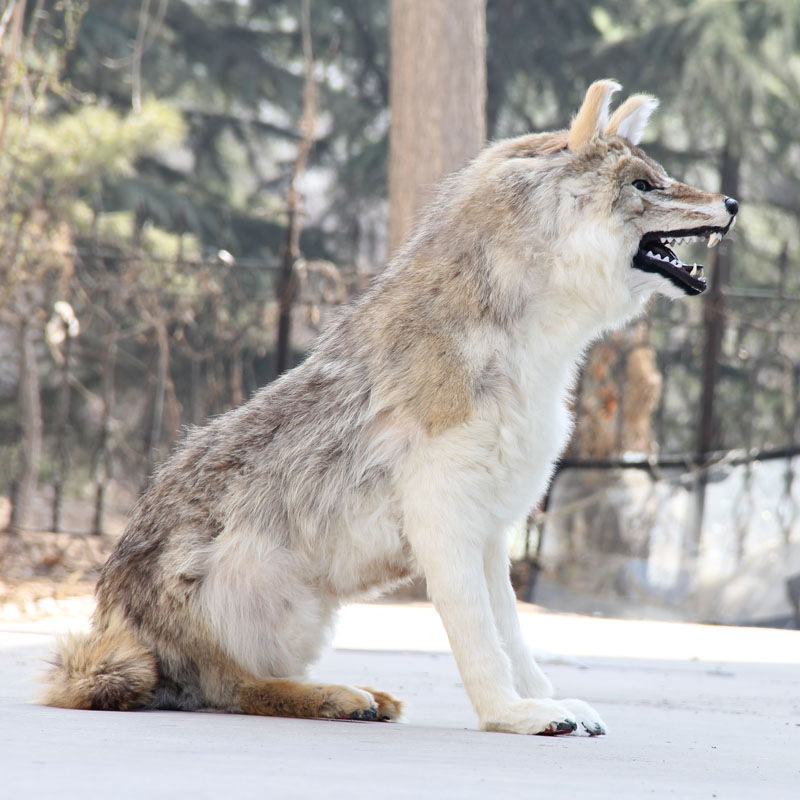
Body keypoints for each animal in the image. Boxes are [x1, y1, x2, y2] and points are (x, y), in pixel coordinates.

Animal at [43, 83, 736, 736]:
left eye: (660, 175)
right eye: (644, 184)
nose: (732, 204)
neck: (531, 355)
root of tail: (112, 627)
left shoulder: (491, 532)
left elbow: (514, 640)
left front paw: (548, 702)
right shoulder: (445, 523)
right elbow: (482, 645)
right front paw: (514, 717)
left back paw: (365, 695)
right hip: (263, 582)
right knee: (231, 690)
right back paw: (340, 698)